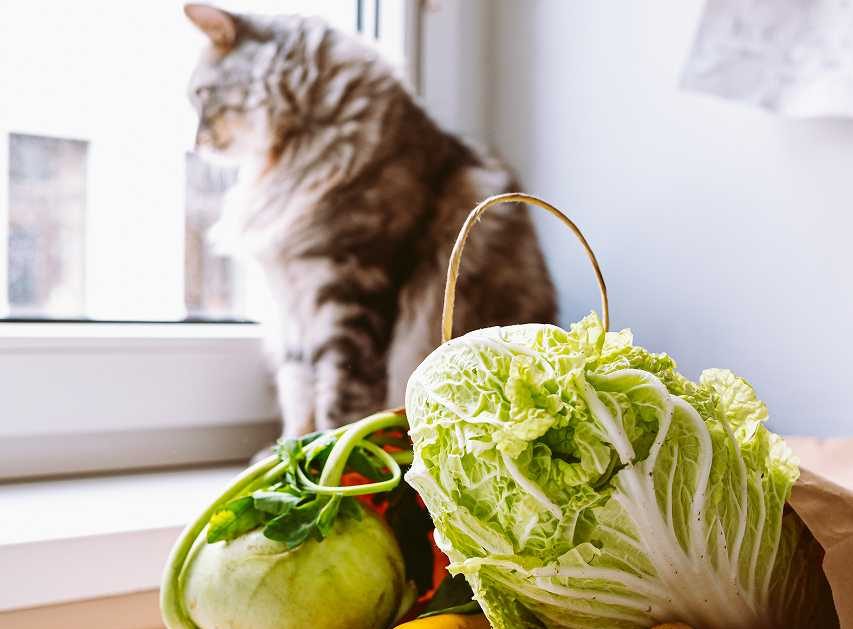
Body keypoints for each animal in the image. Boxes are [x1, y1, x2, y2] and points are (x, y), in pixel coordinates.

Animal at [185, 3, 560, 436]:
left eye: (200, 94)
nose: (195, 143)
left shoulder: (353, 290)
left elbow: (342, 394)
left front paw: (337, 444)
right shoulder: (293, 301)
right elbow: (298, 390)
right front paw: (293, 446)